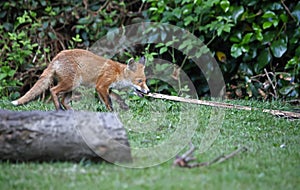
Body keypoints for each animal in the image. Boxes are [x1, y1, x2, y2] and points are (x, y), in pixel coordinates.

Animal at [11, 48, 150, 111]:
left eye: (145, 80)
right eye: (139, 81)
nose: (148, 91)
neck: (117, 73)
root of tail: (56, 57)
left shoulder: (107, 89)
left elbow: (117, 98)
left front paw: (124, 107)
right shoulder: (101, 86)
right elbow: (109, 103)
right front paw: (112, 113)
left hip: (72, 86)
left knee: (64, 100)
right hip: (70, 84)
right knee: (53, 90)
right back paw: (59, 109)